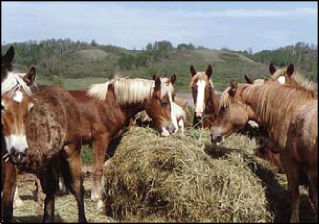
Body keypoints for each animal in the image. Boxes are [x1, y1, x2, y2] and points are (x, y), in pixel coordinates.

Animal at [1, 67, 87, 222]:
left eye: (31, 108)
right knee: (50, 192)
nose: (17, 151)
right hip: (46, 163)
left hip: (72, 152)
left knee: (77, 188)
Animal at [68, 74, 178, 207]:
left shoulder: (110, 142)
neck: (111, 103)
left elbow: (105, 166)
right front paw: (97, 199)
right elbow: (98, 168)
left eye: (173, 99)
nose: (172, 129)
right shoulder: (100, 139)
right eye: (163, 103)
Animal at [211, 79, 318, 222]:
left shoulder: (290, 162)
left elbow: (295, 194)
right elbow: (313, 196)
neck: (290, 109)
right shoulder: (310, 168)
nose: (213, 135)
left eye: (224, 107)